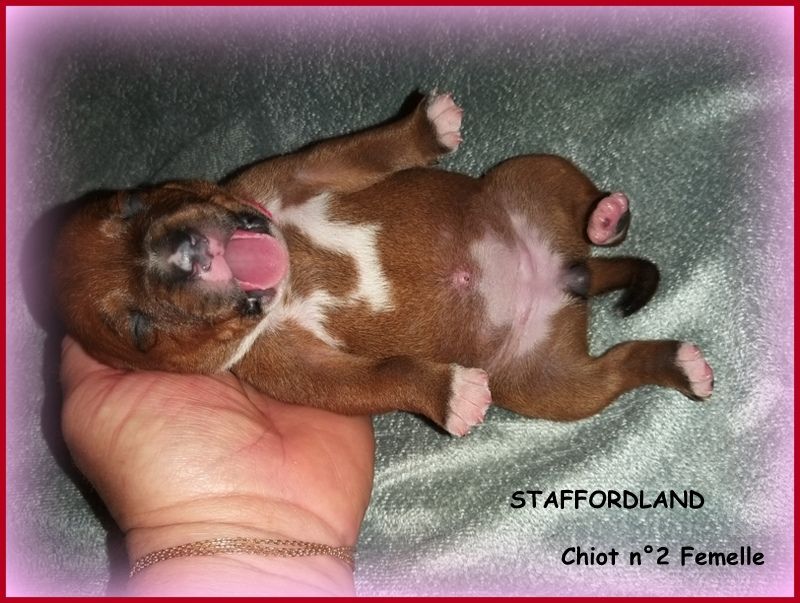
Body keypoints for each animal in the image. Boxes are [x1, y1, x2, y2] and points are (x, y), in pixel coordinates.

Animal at [53, 92, 713, 436]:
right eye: (139, 329)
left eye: (131, 202)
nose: (185, 250)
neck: (294, 274)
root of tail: (566, 277)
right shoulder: (300, 373)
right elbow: (385, 376)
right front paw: (449, 394)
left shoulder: (299, 172)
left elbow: (368, 147)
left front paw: (426, 127)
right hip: (553, 387)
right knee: (617, 371)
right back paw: (680, 365)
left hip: (529, 175)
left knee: (579, 197)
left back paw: (604, 216)